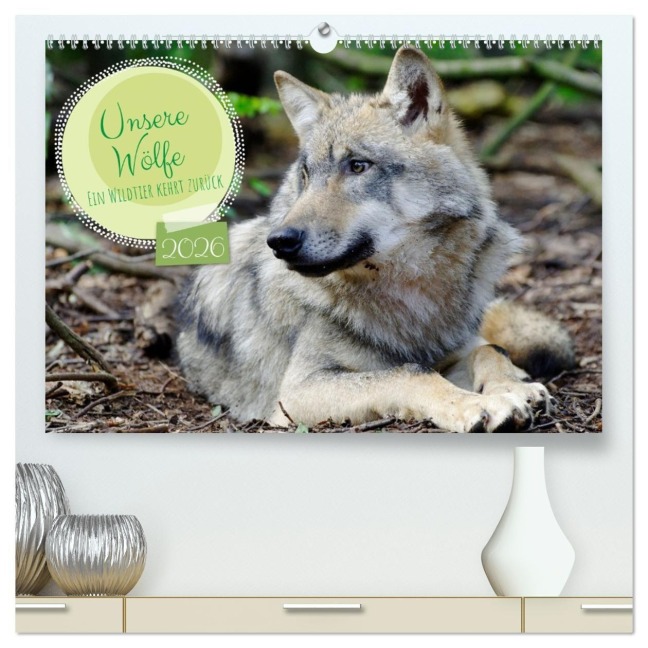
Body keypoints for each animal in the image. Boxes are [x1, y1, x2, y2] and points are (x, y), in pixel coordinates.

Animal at [177, 47, 574, 433]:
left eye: (357, 166)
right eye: (306, 175)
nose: (280, 241)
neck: (411, 295)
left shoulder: (454, 348)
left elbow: (489, 350)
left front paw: (514, 388)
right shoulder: (296, 392)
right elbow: (410, 374)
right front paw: (477, 405)